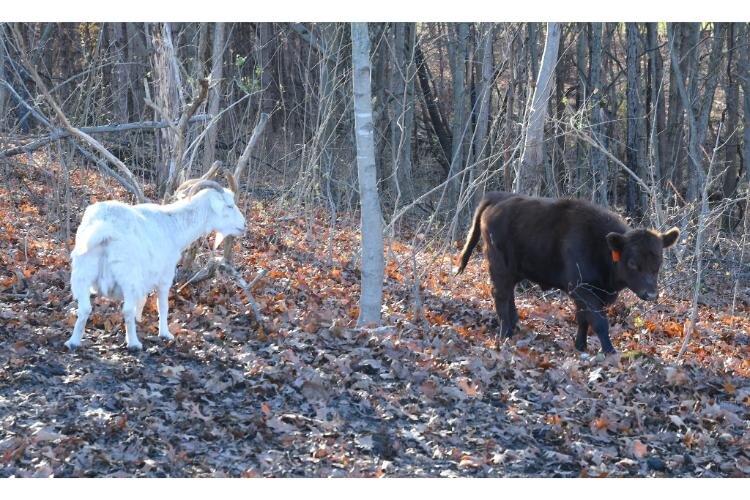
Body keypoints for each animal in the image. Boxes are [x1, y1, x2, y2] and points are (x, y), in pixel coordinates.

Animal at [65, 178, 245, 350]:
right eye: (229, 206)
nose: (243, 225)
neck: (174, 226)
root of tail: (105, 226)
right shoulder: (165, 275)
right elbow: (162, 305)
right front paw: (165, 333)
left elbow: (142, 301)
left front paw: (140, 320)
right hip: (127, 276)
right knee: (126, 310)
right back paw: (134, 344)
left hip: (83, 271)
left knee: (85, 308)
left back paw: (73, 342)